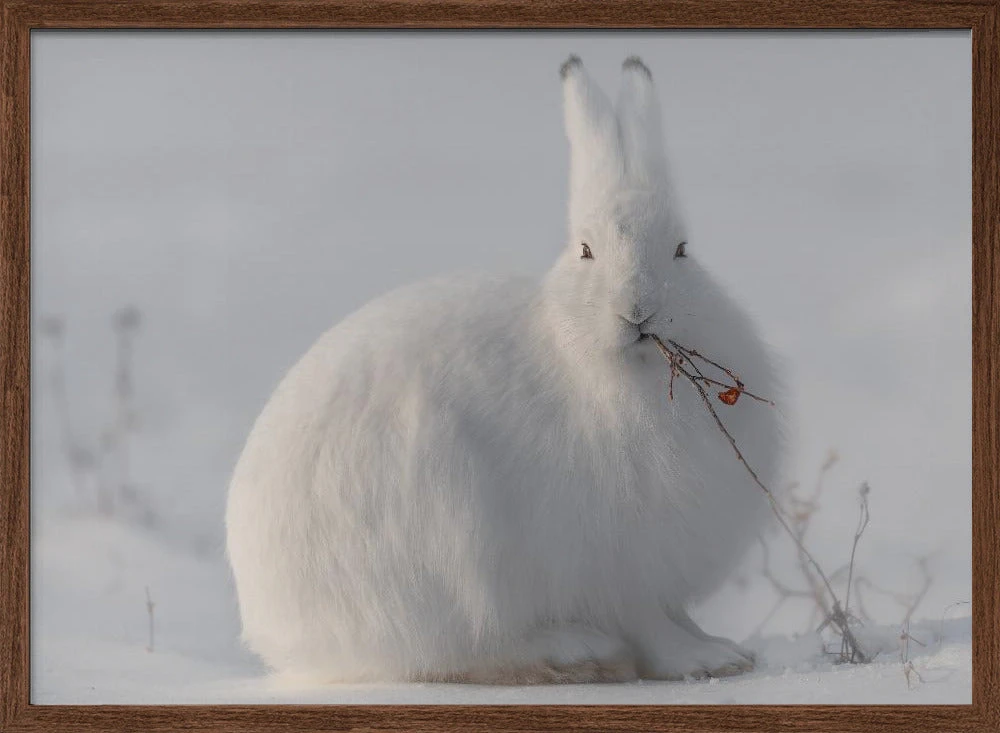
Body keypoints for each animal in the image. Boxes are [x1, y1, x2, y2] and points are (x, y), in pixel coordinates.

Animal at [225, 55, 785, 685]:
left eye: (682, 251)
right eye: (586, 250)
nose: (638, 309)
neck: (609, 369)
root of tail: (274, 630)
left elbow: (675, 615)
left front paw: (725, 650)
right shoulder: (615, 563)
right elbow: (650, 625)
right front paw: (703, 661)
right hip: (446, 547)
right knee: (461, 650)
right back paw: (576, 649)